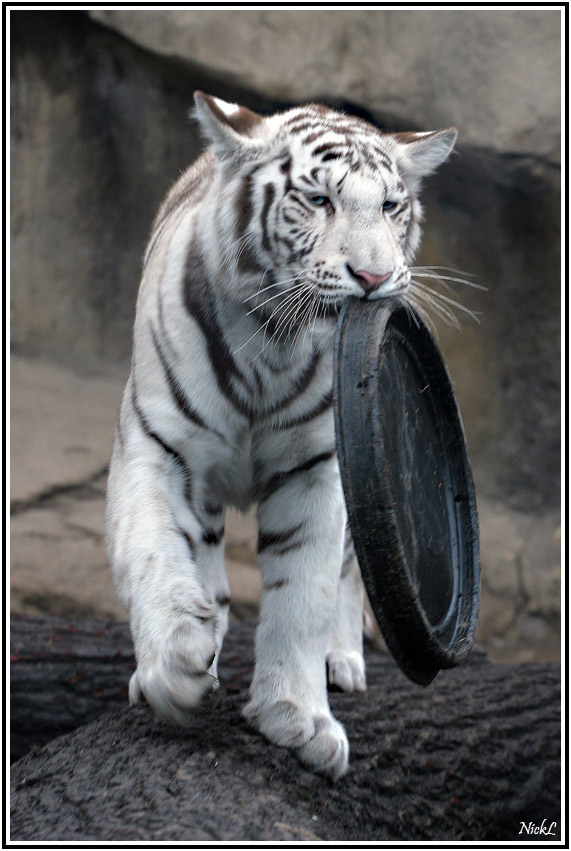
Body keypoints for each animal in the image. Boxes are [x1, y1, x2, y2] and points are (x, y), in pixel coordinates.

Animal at [106, 91, 457, 780]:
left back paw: (342, 661)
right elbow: (155, 549)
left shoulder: (318, 467)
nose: (374, 278)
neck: (273, 340)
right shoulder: (158, 445)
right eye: (318, 200)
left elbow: (305, 591)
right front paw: (174, 659)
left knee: (348, 576)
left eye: (390, 206)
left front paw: (298, 716)